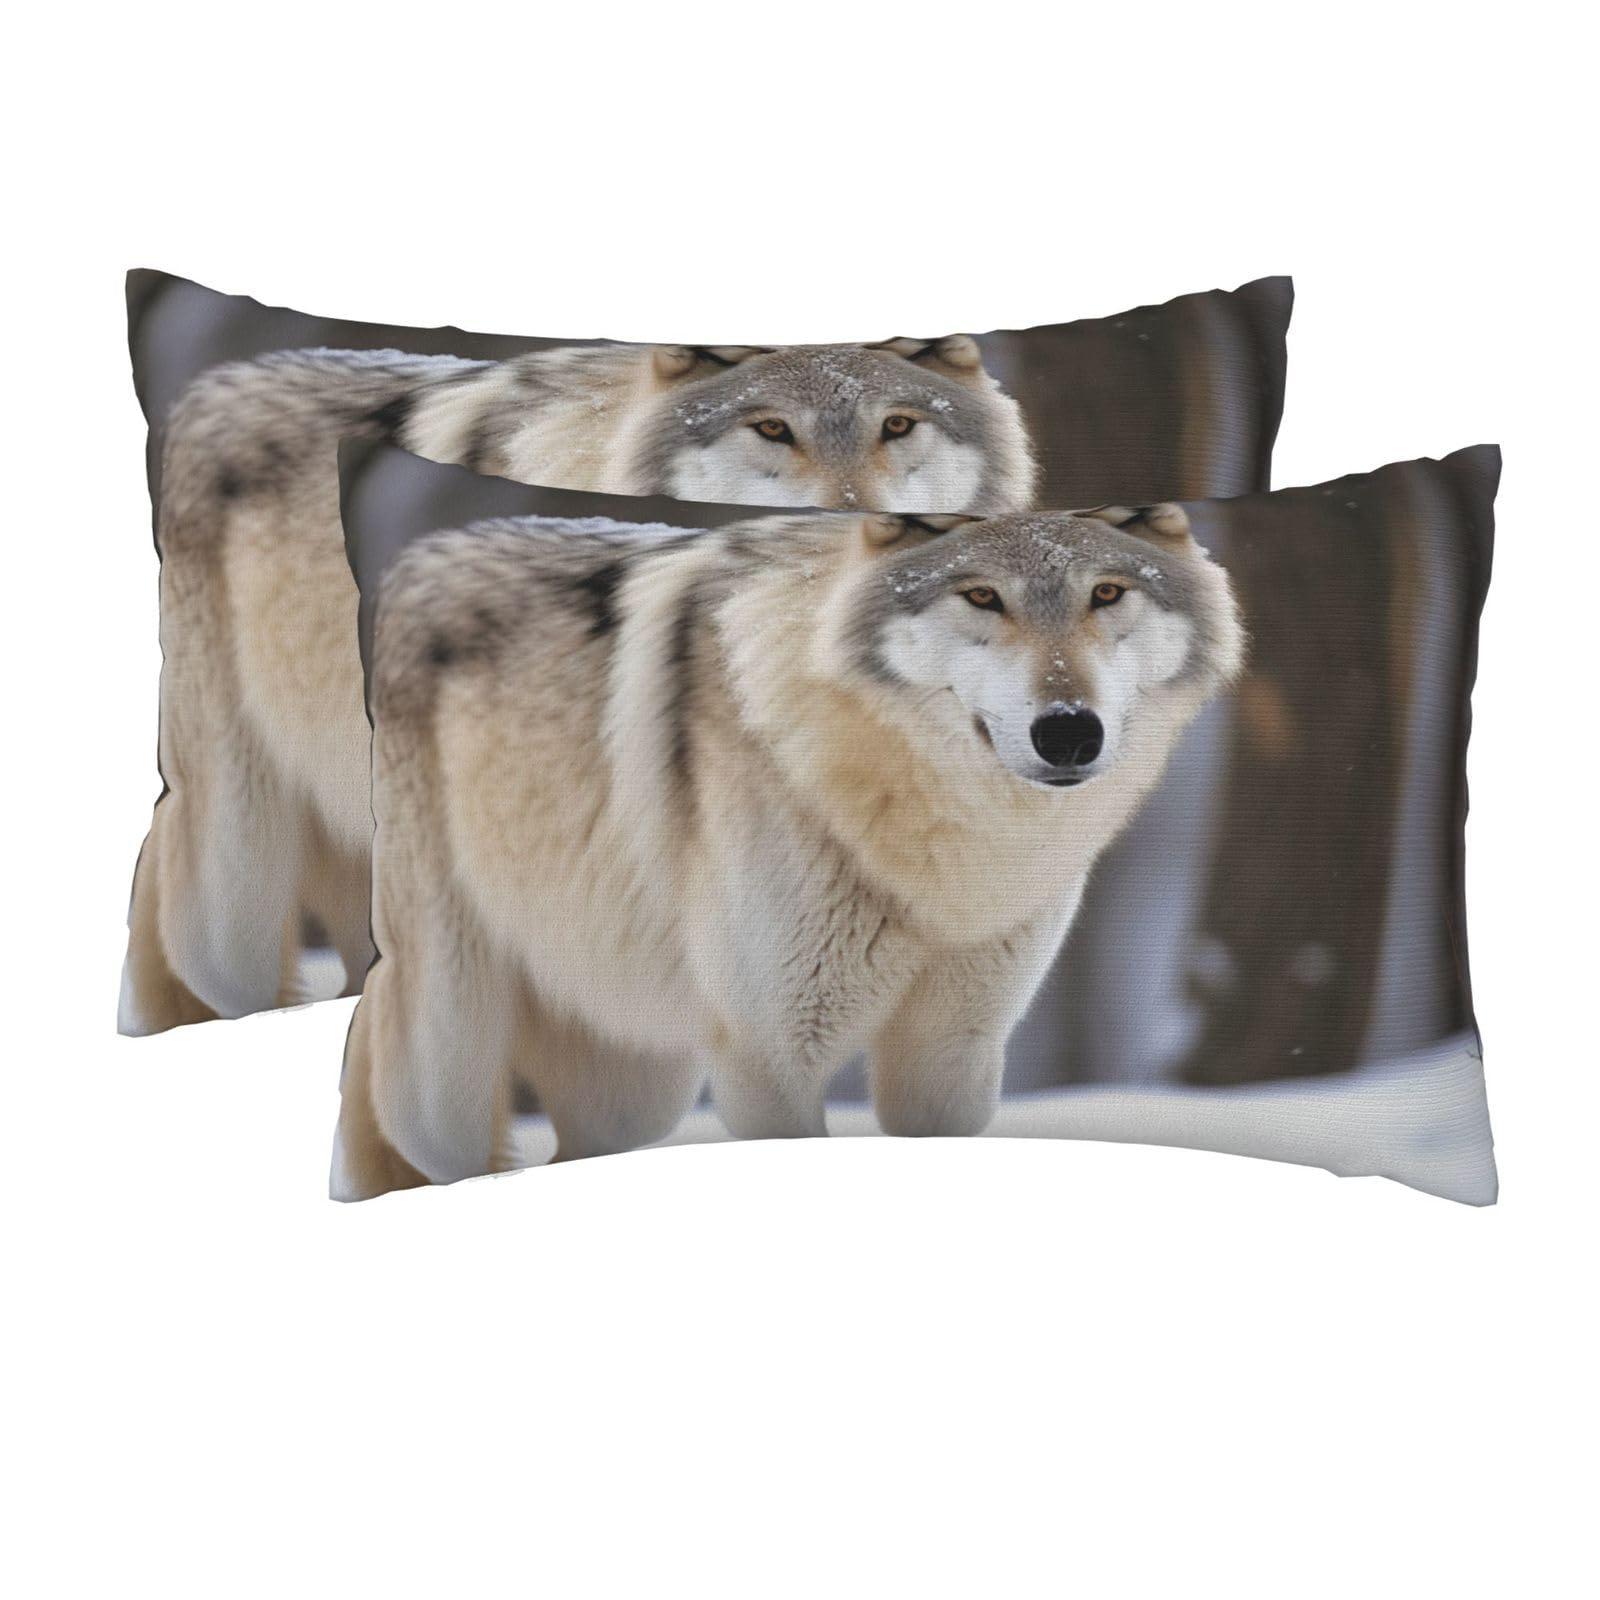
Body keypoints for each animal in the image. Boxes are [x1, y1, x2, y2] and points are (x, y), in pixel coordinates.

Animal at [332, 502, 1244, 1199]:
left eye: (1107, 593)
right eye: (982, 596)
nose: (1068, 732)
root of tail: (410, 560)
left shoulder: (953, 1055)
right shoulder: (772, 1058)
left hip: (636, 1089)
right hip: (452, 1058)